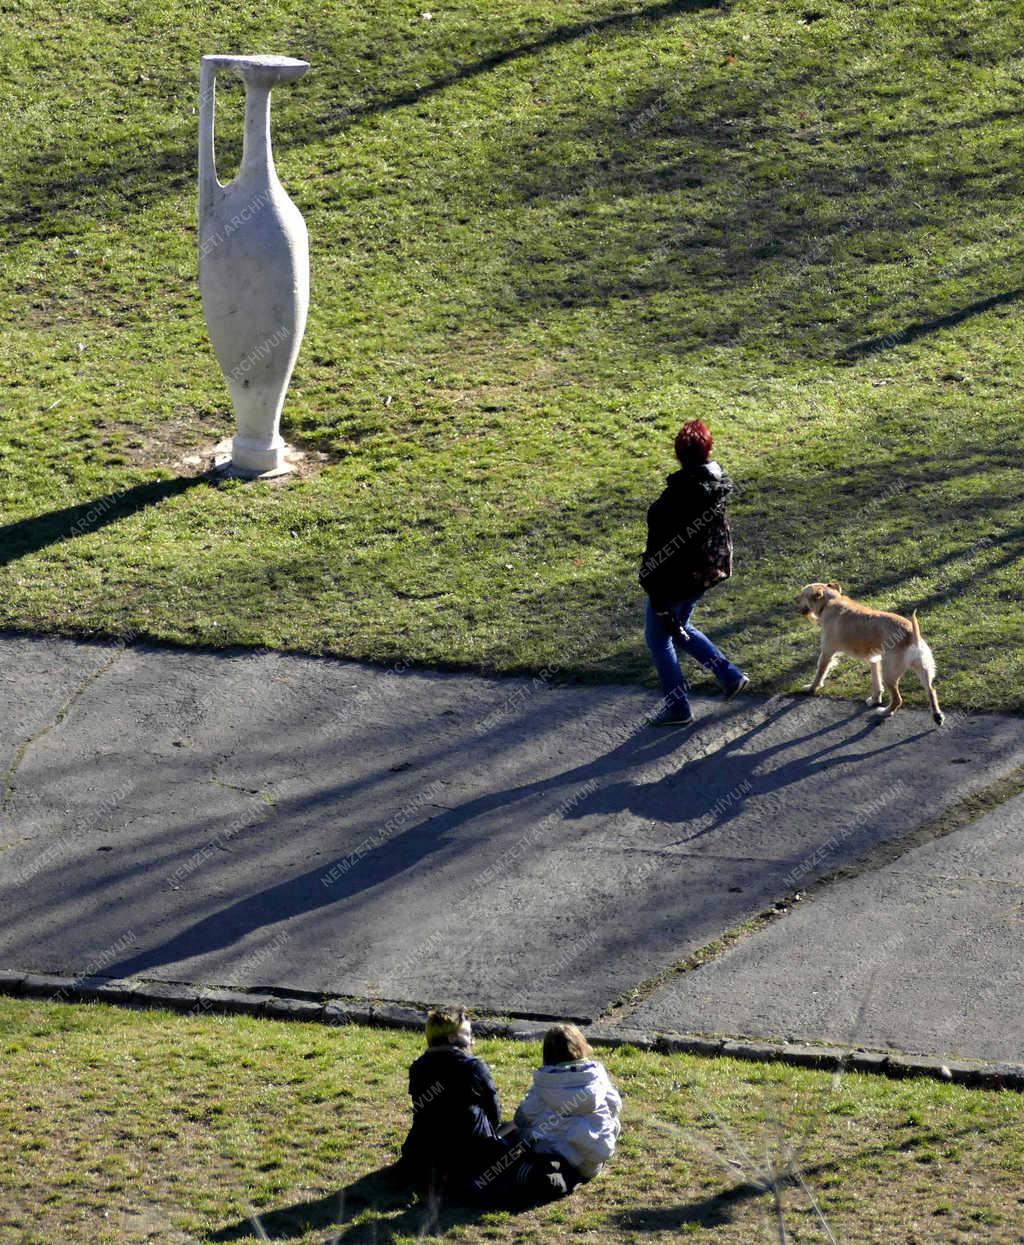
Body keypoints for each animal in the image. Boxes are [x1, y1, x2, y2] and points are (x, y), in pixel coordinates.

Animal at [797, 585, 951, 727]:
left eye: (803, 594)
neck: (831, 600)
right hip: (924, 670)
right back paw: (937, 716)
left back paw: (885, 712)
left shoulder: (827, 652)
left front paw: (812, 688)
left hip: (889, 675)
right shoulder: (874, 661)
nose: (794, 599)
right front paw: (875, 699)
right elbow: (876, 683)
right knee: (931, 691)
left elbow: (819, 673)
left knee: (898, 700)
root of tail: (911, 634)